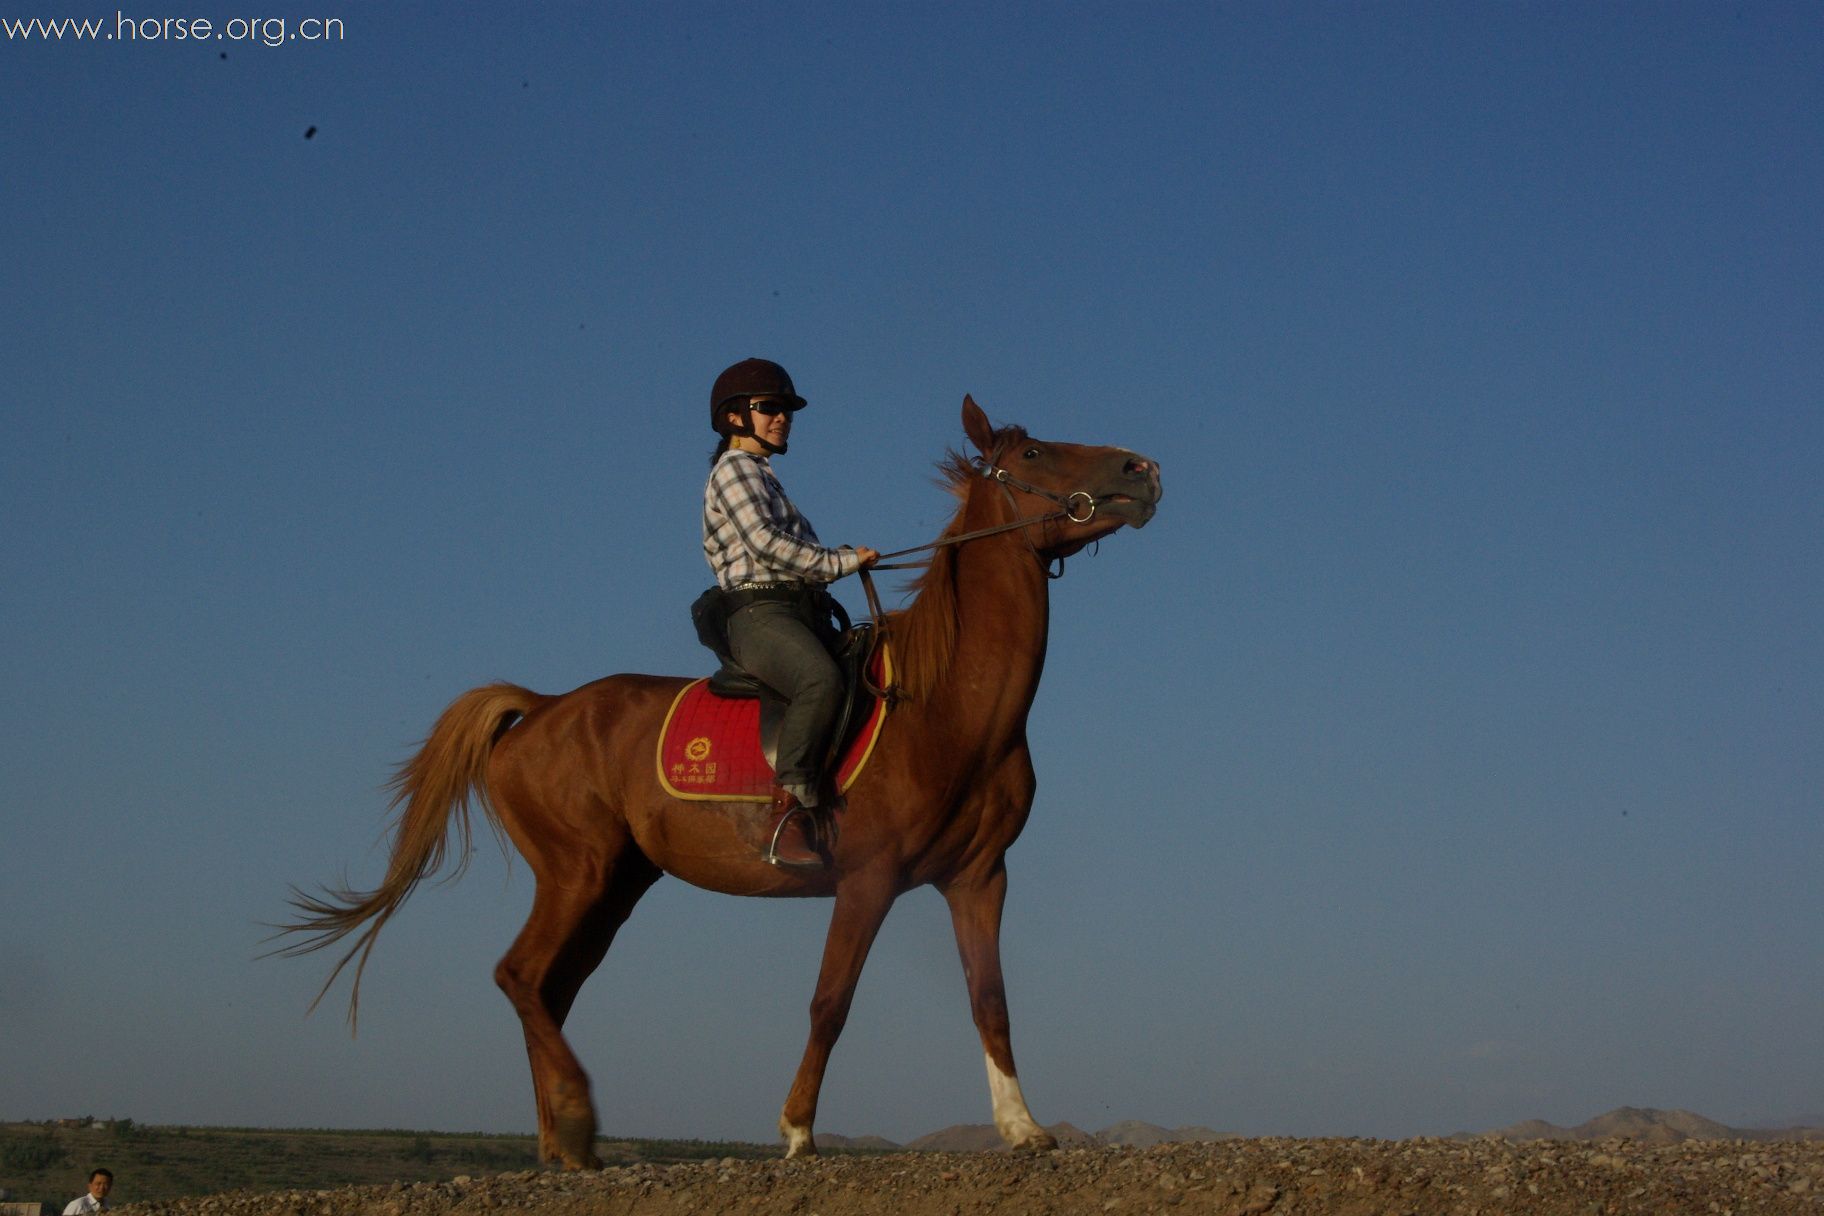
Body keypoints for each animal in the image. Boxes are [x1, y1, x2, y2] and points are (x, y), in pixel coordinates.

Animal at [277, 395, 1160, 1166]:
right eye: (1035, 454)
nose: (1144, 469)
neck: (946, 706)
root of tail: (545, 709)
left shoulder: (979, 877)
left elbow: (990, 1000)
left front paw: (1024, 1129)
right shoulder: (868, 877)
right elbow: (830, 1002)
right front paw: (797, 1131)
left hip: (615, 886)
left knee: (548, 991)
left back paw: (563, 1146)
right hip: (576, 871)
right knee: (519, 976)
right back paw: (578, 1120)